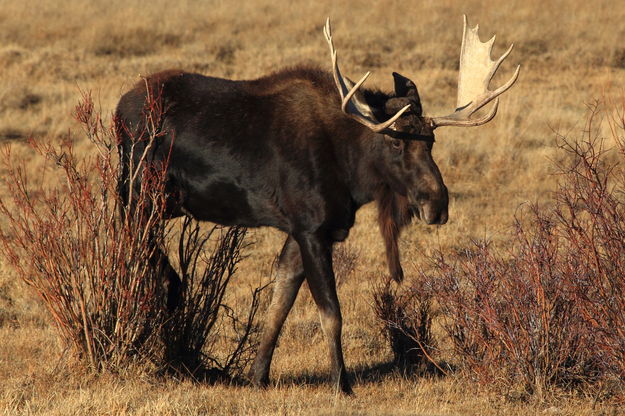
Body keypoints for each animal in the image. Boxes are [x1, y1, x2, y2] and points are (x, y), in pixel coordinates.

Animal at [114, 16, 520, 394]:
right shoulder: (311, 229)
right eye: (395, 142)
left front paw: (258, 377)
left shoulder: (305, 229)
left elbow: (278, 304)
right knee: (145, 263)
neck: (352, 172)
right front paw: (341, 383)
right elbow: (331, 313)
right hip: (140, 198)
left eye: (432, 141)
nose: (437, 204)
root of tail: (119, 110)